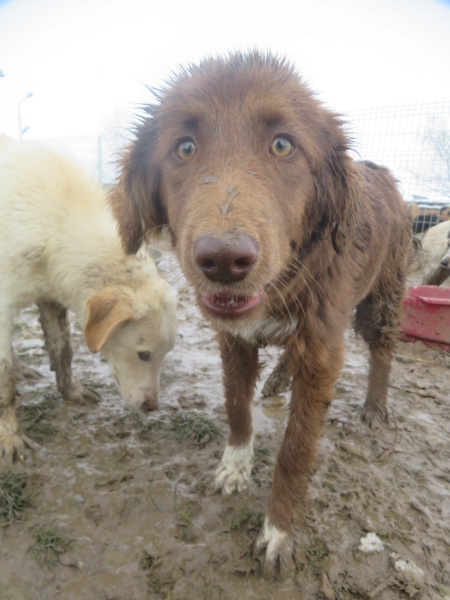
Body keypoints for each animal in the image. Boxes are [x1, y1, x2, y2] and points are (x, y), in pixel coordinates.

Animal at [0, 136, 178, 464]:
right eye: (143, 354)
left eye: (164, 355)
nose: (152, 407)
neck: (55, 221)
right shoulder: (3, 308)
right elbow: (4, 382)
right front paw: (9, 436)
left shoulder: (51, 298)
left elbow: (63, 351)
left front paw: (71, 391)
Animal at [110, 54, 414, 580]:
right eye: (184, 148)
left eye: (282, 145)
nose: (223, 260)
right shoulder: (234, 340)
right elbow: (236, 406)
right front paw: (234, 467)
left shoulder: (322, 347)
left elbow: (296, 450)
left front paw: (278, 531)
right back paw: (275, 381)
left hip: (381, 298)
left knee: (382, 349)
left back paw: (375, 405)